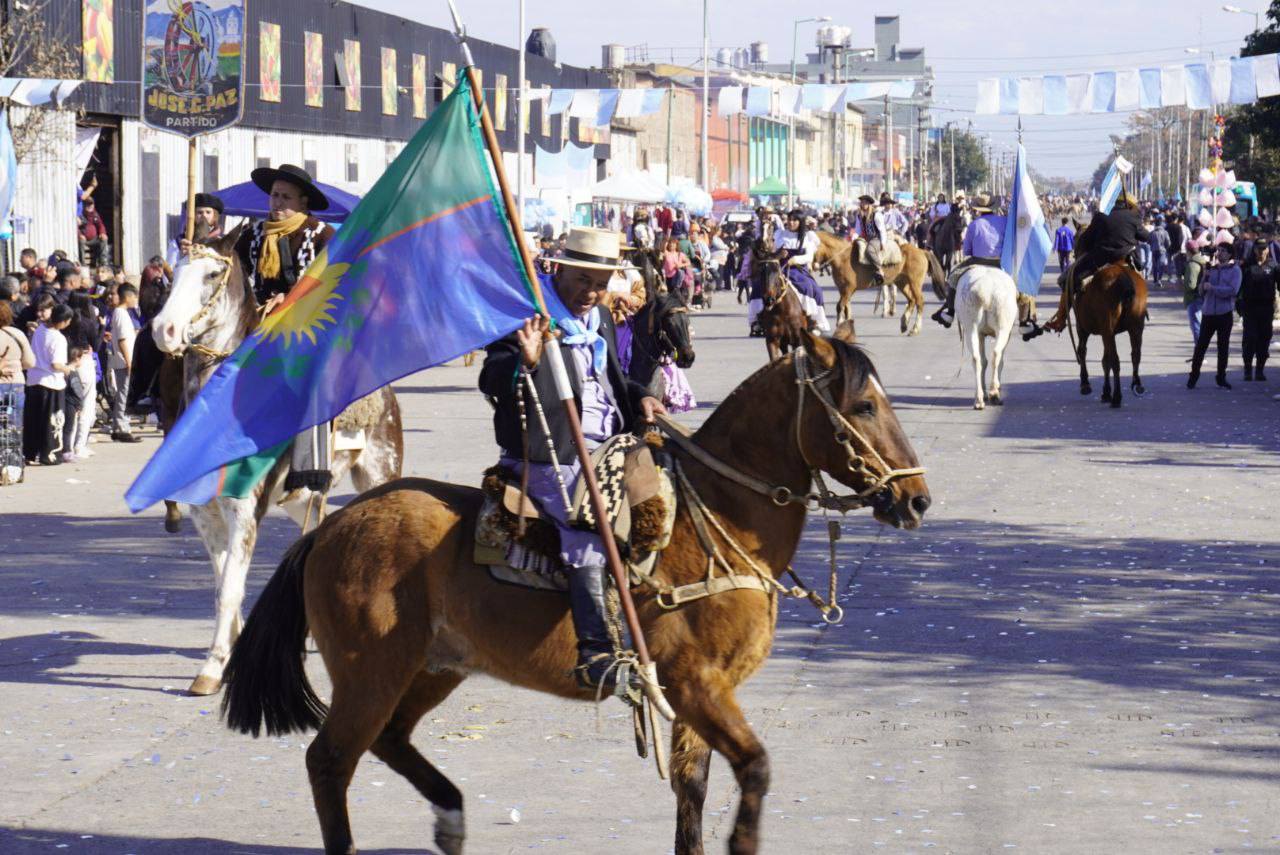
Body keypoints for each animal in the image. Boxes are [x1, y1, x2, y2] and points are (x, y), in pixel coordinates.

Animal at [150, 230, 405, 696]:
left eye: (211, 274)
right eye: (173, 273)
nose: (164, 330)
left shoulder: (244, 512)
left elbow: (231, 587)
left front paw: (213, 666)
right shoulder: (205, 515)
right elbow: (223, 583)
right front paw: (229, 650)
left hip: (379, 473)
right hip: (298, 497)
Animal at [221, 328, 931, 855]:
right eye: (864, 407)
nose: (917, 499)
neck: (720, 522)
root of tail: (332, 526)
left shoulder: (697, 698)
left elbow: (692, 793)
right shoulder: (699, 685)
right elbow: (753, 769)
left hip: (432, 668)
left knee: (389, 741)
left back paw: (451, 815)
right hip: (371, 673)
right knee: (330, 761)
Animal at [813, 231, 947, 335]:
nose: (813, 266)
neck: (842, 258)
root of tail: (921, 251)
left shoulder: (848, 289)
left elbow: (840, 306)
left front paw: (839, 325)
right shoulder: (843, 290)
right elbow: (846, 308)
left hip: (915, 283)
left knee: (919, 302)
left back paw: (914, 329)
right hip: (902, 283)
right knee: (911, 300)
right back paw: (904, 324)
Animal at [955, 265, 1019, 410]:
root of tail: (984, 290)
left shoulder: (980, 334)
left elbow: (983, 361)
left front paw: (984, 393)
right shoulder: (1008, 333)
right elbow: (1000, 361)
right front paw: (994, 390)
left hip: (971, 327)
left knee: (976, 359)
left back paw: (979, 399)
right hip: (1003, 325)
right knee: (996, 354)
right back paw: (994, 393)